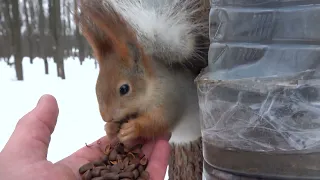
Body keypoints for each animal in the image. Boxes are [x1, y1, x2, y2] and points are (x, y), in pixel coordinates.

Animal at [75, 0, 210, 145]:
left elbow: (160, 121)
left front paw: (133, 128)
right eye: (97, 86)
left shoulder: (172, 97)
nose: (106, 117)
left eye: (124, 89)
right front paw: (110, 128)